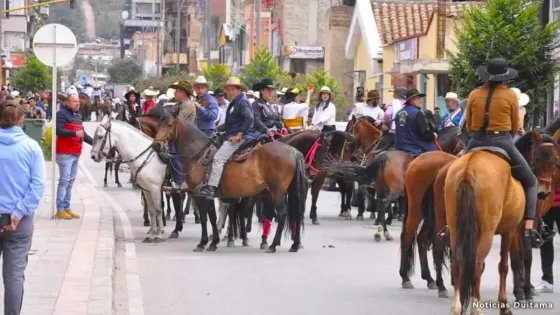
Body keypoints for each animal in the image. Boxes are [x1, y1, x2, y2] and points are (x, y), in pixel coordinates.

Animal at [90, 115, 166, 243]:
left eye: (100, 136)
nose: (93, 156)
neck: (145, 157)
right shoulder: (147, 189)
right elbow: (151, 210)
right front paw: (152, 234)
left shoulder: (155, 188)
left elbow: (158, 209)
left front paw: (159, 235)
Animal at [152, 116, 310, 254]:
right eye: (158, 125)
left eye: (169, 125)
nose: (156, 145)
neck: (198, 156)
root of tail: (293, 151)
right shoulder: (209, 196)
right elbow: (213, 218)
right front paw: (213, 242)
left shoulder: (199, 196)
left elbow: (204, 218)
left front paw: (202, 243)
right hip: (289, 192)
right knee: (296, 214)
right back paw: (295, 245)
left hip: (277, 192)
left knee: (282, 214)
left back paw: (273, 245)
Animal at [442, 130, 556, 314]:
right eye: (538, 158)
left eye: (554, 161)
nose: (544, 193)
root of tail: (468, 169)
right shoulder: (512, 229)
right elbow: (509, 263)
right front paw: (514, 297)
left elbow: (523, 258)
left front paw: (524, 290)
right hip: (487, 232)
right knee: (477, 264)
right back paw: (476, 307)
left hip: (455, 228)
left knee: (458, 261)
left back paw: (457, 306)